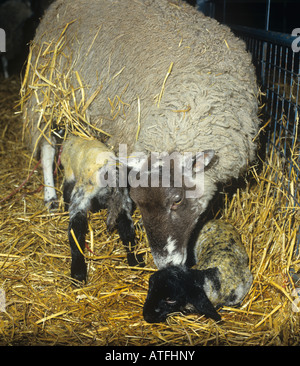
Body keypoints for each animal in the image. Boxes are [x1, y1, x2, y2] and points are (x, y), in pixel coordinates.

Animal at [22, 0, 258, 276]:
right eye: (137, 201)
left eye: (177, 199)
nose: (166, 265)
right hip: (47, 93)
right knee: (47, 148)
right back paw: (50, 197)